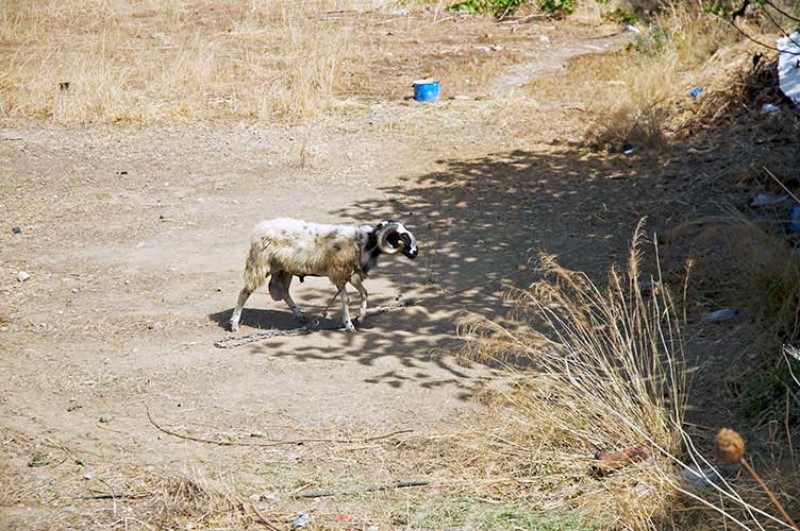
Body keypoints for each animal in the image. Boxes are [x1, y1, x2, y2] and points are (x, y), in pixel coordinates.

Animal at [228, 218, 418, 330]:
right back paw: (234, 323)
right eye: (401, 237)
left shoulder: (351, 274)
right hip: (260, 265)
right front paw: (348, 324)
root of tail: (259, 228)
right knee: (245, 292)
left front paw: (361, 317)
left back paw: (300, 315)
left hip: (284, 269)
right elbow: (346, 299)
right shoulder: (338, 274)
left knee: (284, 292)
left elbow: (364, 293)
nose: (416, 252)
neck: (363, 243)